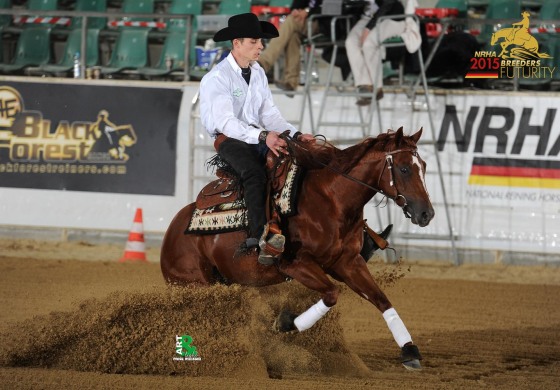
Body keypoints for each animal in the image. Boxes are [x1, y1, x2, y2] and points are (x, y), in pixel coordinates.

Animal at [161, 127, 434, 368]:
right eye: (404, 168)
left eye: (423, 166)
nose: (427, 214)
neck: (331, 200)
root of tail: (171, 232)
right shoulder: (296, 264)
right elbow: (331, 293)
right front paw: (287, 323)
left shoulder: (348, 262)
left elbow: (381, 300)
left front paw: (410, 350)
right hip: (193, 286)